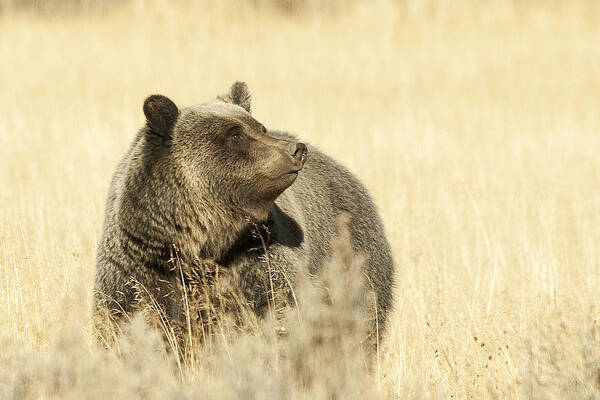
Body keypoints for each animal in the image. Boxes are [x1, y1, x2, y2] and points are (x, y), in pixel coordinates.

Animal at [94, 81, 394, 344]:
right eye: (235, 134)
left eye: (259, 126)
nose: (296, 149)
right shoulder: (143, 267)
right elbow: (133, 320)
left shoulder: (258, 259)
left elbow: (272, 312)